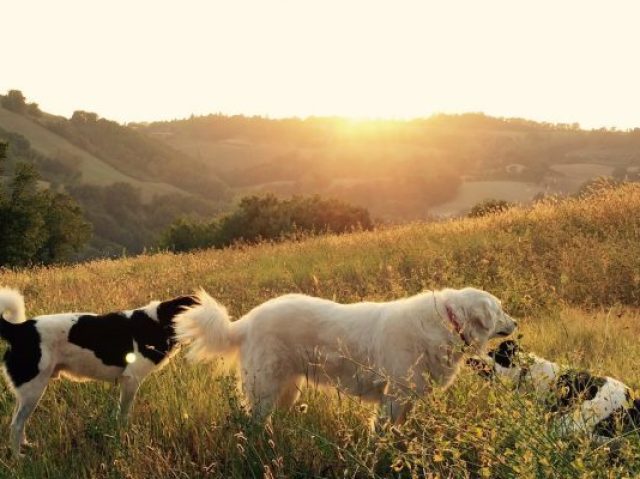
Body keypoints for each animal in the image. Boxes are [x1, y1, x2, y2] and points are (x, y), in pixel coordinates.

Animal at [0, 286, 200, 456]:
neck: (159, 322)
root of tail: (20, 329)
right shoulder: (131, 380)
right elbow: (124, 415)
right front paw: (123, 436)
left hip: (28, 391)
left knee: (19, 421)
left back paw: (26, 445)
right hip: (34, 389)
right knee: (16, 425)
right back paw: (18, 457)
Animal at [178, 286, 516, 426]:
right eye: (500, 309)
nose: (516, 323)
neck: (447, 322)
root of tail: (246, 321)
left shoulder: (408, 399)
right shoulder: (394, 397)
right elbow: (383, 432)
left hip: (286, 388)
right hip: (265, 389)